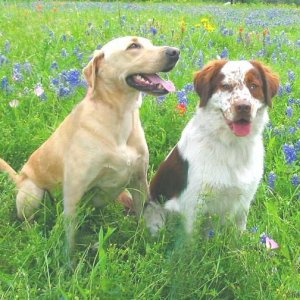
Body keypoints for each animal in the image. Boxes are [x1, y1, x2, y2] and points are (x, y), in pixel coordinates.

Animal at [0, 35, 180, 251]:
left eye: (151, 43)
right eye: (133, 46)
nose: (175, 51)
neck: (120, 115)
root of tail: (19, 178)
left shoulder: (139, 180)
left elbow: (143, 217)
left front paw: (142, 244)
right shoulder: (74, 188)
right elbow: (70, 237)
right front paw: (69, 260)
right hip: (32, 192)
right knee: (28, 220)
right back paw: (33, 235)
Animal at [144, 59, 280, 236]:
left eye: (253, 86)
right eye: (226, 86)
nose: (243, 106)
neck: (232, 145)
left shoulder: (245, 197)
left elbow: (239, 229)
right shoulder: (194, 202)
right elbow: (190, 239)